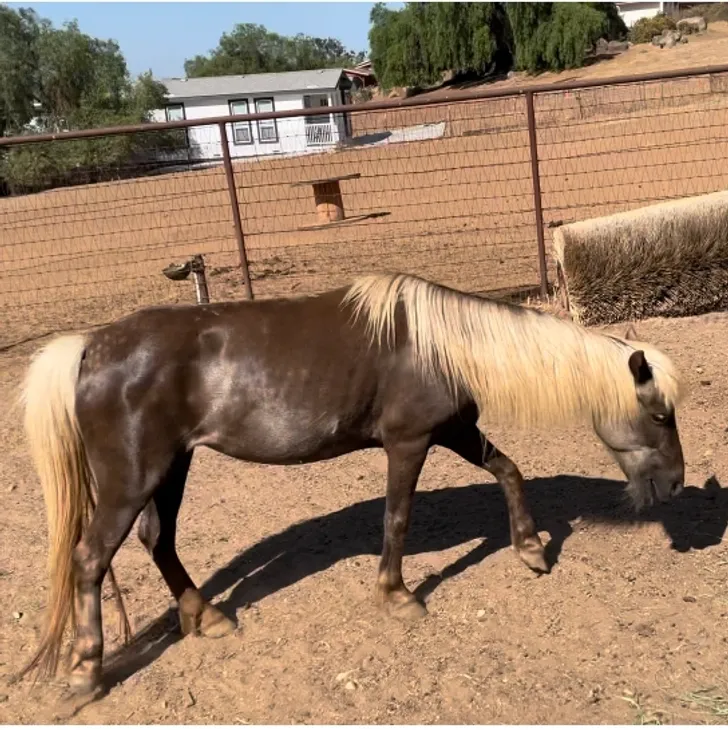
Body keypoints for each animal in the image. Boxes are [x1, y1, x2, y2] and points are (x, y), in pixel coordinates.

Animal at [17, 272, 685, 696]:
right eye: (659, 415)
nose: (677, 484)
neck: (438, 344)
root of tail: (91, 346)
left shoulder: (455, 431)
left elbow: (508, 470)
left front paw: (530, 549)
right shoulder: (409, 443)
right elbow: (397, 517)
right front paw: (398, 595)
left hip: (170, 469)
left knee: (158, 541)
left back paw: (205, 617)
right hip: (133, 478)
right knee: (90, 557)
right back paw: (85, 675)